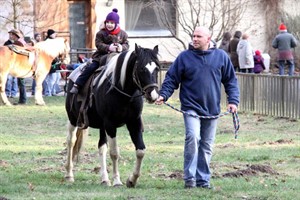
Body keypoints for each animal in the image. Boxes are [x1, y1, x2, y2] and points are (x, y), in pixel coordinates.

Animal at [64, 43, 161, 188]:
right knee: (71, 141)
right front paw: (117, 181)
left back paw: (104, 179)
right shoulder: (110, 124)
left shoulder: (134, 122)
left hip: (101, 126)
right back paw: (69, 175)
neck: (124, 92)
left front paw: (132, 180)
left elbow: (140, 150)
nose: (153, 95)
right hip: (73, 119)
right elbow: (114, 153)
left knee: (101, 147)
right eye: (141, 69)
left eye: (157, 68)